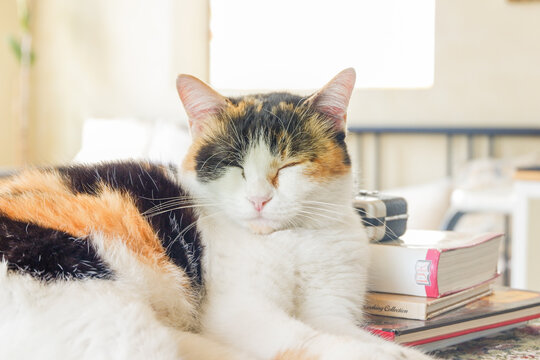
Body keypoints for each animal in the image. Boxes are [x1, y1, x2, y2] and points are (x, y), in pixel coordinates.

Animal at [0, 69, 430, 360]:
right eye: (233, 166)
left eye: (289, 164)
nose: (259, 199)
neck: (293, 241)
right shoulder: (238, 310)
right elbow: (310, 340)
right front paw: (385, 353)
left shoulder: (331, 311)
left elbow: (340, 329)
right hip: (98, 305)